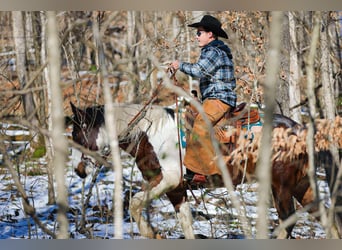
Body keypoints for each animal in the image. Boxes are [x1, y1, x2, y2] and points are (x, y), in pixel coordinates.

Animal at [70, 102, 320, 240]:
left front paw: (152, 233)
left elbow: (135, 202)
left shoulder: (169, 180)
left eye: (77, 135)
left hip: (282, 187)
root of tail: (297, 128)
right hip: (301, 185)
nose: (78, 170)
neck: (152, 134)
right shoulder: (176, 189)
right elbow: (186, 224)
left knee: (287, 221)